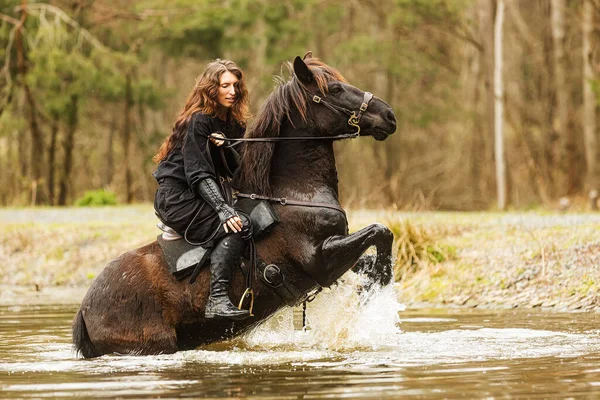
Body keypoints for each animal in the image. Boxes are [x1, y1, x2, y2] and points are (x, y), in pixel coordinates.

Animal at [71, 54, 398, 358]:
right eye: (335, 89)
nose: (389, 115)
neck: (296, 193)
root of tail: (85, 310)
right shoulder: (320, 260)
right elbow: (380, 231)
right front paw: (377, 285)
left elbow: (373, 250)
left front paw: (371, 281)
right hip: (154, 345)